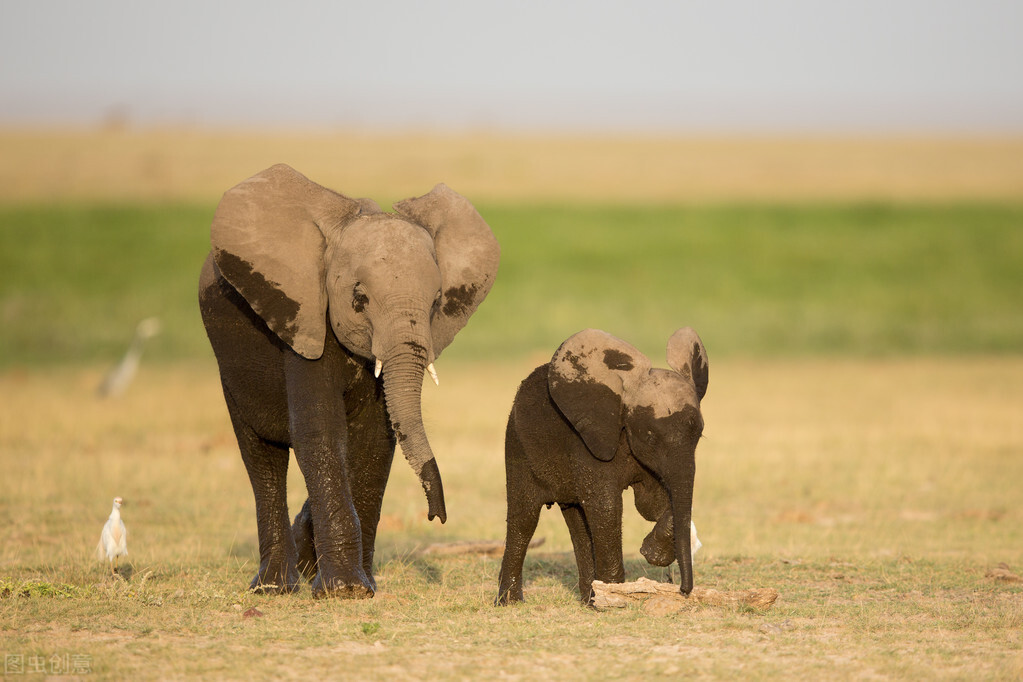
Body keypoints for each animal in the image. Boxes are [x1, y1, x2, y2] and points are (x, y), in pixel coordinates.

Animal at [198, 164, 499, 598]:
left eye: (436, 302)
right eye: (359, 299)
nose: (437, 515)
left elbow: (375, 439)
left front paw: (361, 585)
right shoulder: (305, 319)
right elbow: (321, 431)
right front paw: (344, 591)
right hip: (230, 362)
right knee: (261, 456)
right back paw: (274, 586)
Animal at [496, 327, 709, 604]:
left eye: (699, 435)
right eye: (650, 435)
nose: (683, 589)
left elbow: (656, 503)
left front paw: (650, 555)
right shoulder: (589, 440)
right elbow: (606, 506)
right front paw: (617, 597)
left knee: (577, 522)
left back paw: (590, 600)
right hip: (517, 444)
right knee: (525, 519)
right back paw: (510, 602)